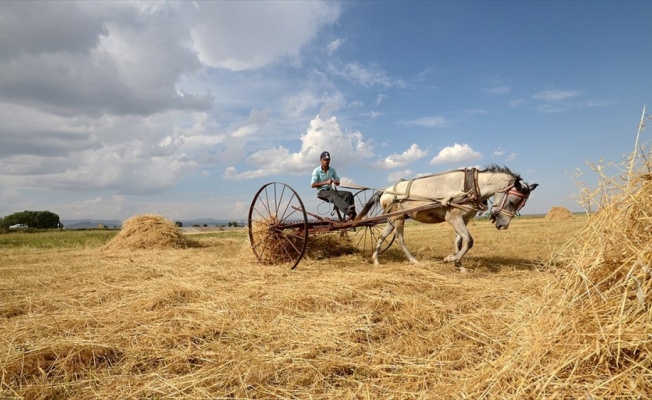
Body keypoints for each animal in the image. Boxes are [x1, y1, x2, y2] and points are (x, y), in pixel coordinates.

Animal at [374, 164, 536, 270]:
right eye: (513, 201)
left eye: (521, 205)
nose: (503, 225)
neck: (471, 186)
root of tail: (386, 191)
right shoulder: (454, 218)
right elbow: (469, 241)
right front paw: (451, 259)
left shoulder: (464, 220)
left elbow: (460, 241)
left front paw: (459, 264)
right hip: (399, 218)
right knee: (400, 238)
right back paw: (413, 260)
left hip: (392, 219)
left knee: (382, 235)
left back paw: (375, 260)